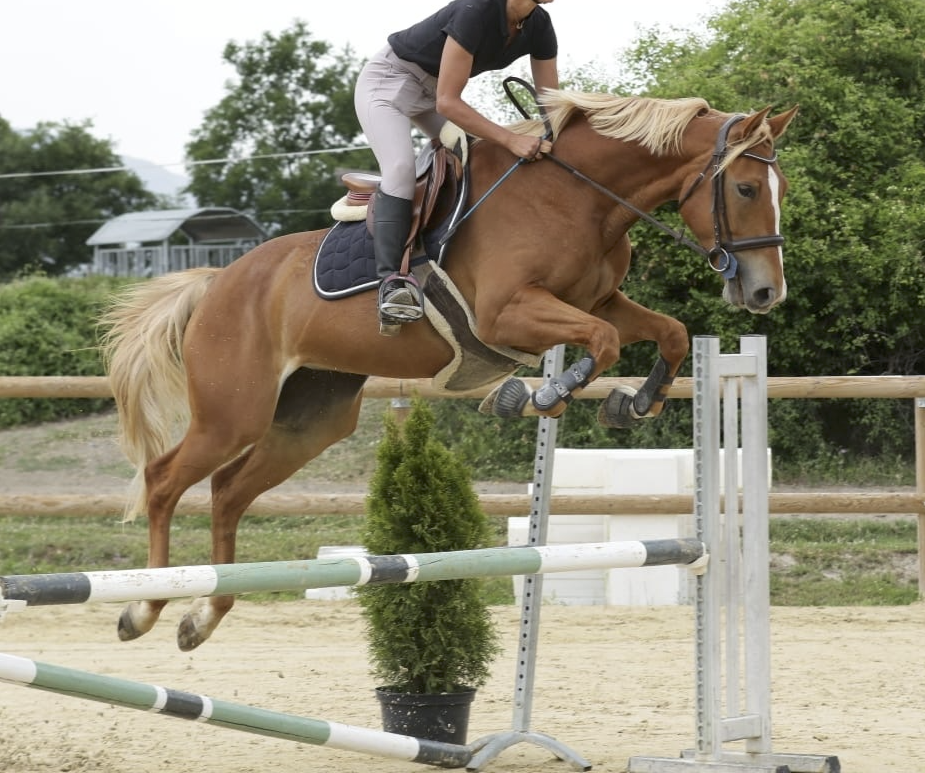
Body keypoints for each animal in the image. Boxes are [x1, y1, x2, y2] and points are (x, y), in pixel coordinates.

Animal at [100, 89, 798, 651]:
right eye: (744, 189)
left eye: (779, 192)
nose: (766, 293)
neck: (576, 198)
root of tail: (217, 281)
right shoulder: (509, 314)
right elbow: (598, 345)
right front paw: (533, 395)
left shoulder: (600, 302)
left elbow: (667, 334)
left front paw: (631, 402)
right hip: (232, 412)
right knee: (163, 482)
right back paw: (144, 607)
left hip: (310, 421)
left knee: (227, 493)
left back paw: (202, 616)